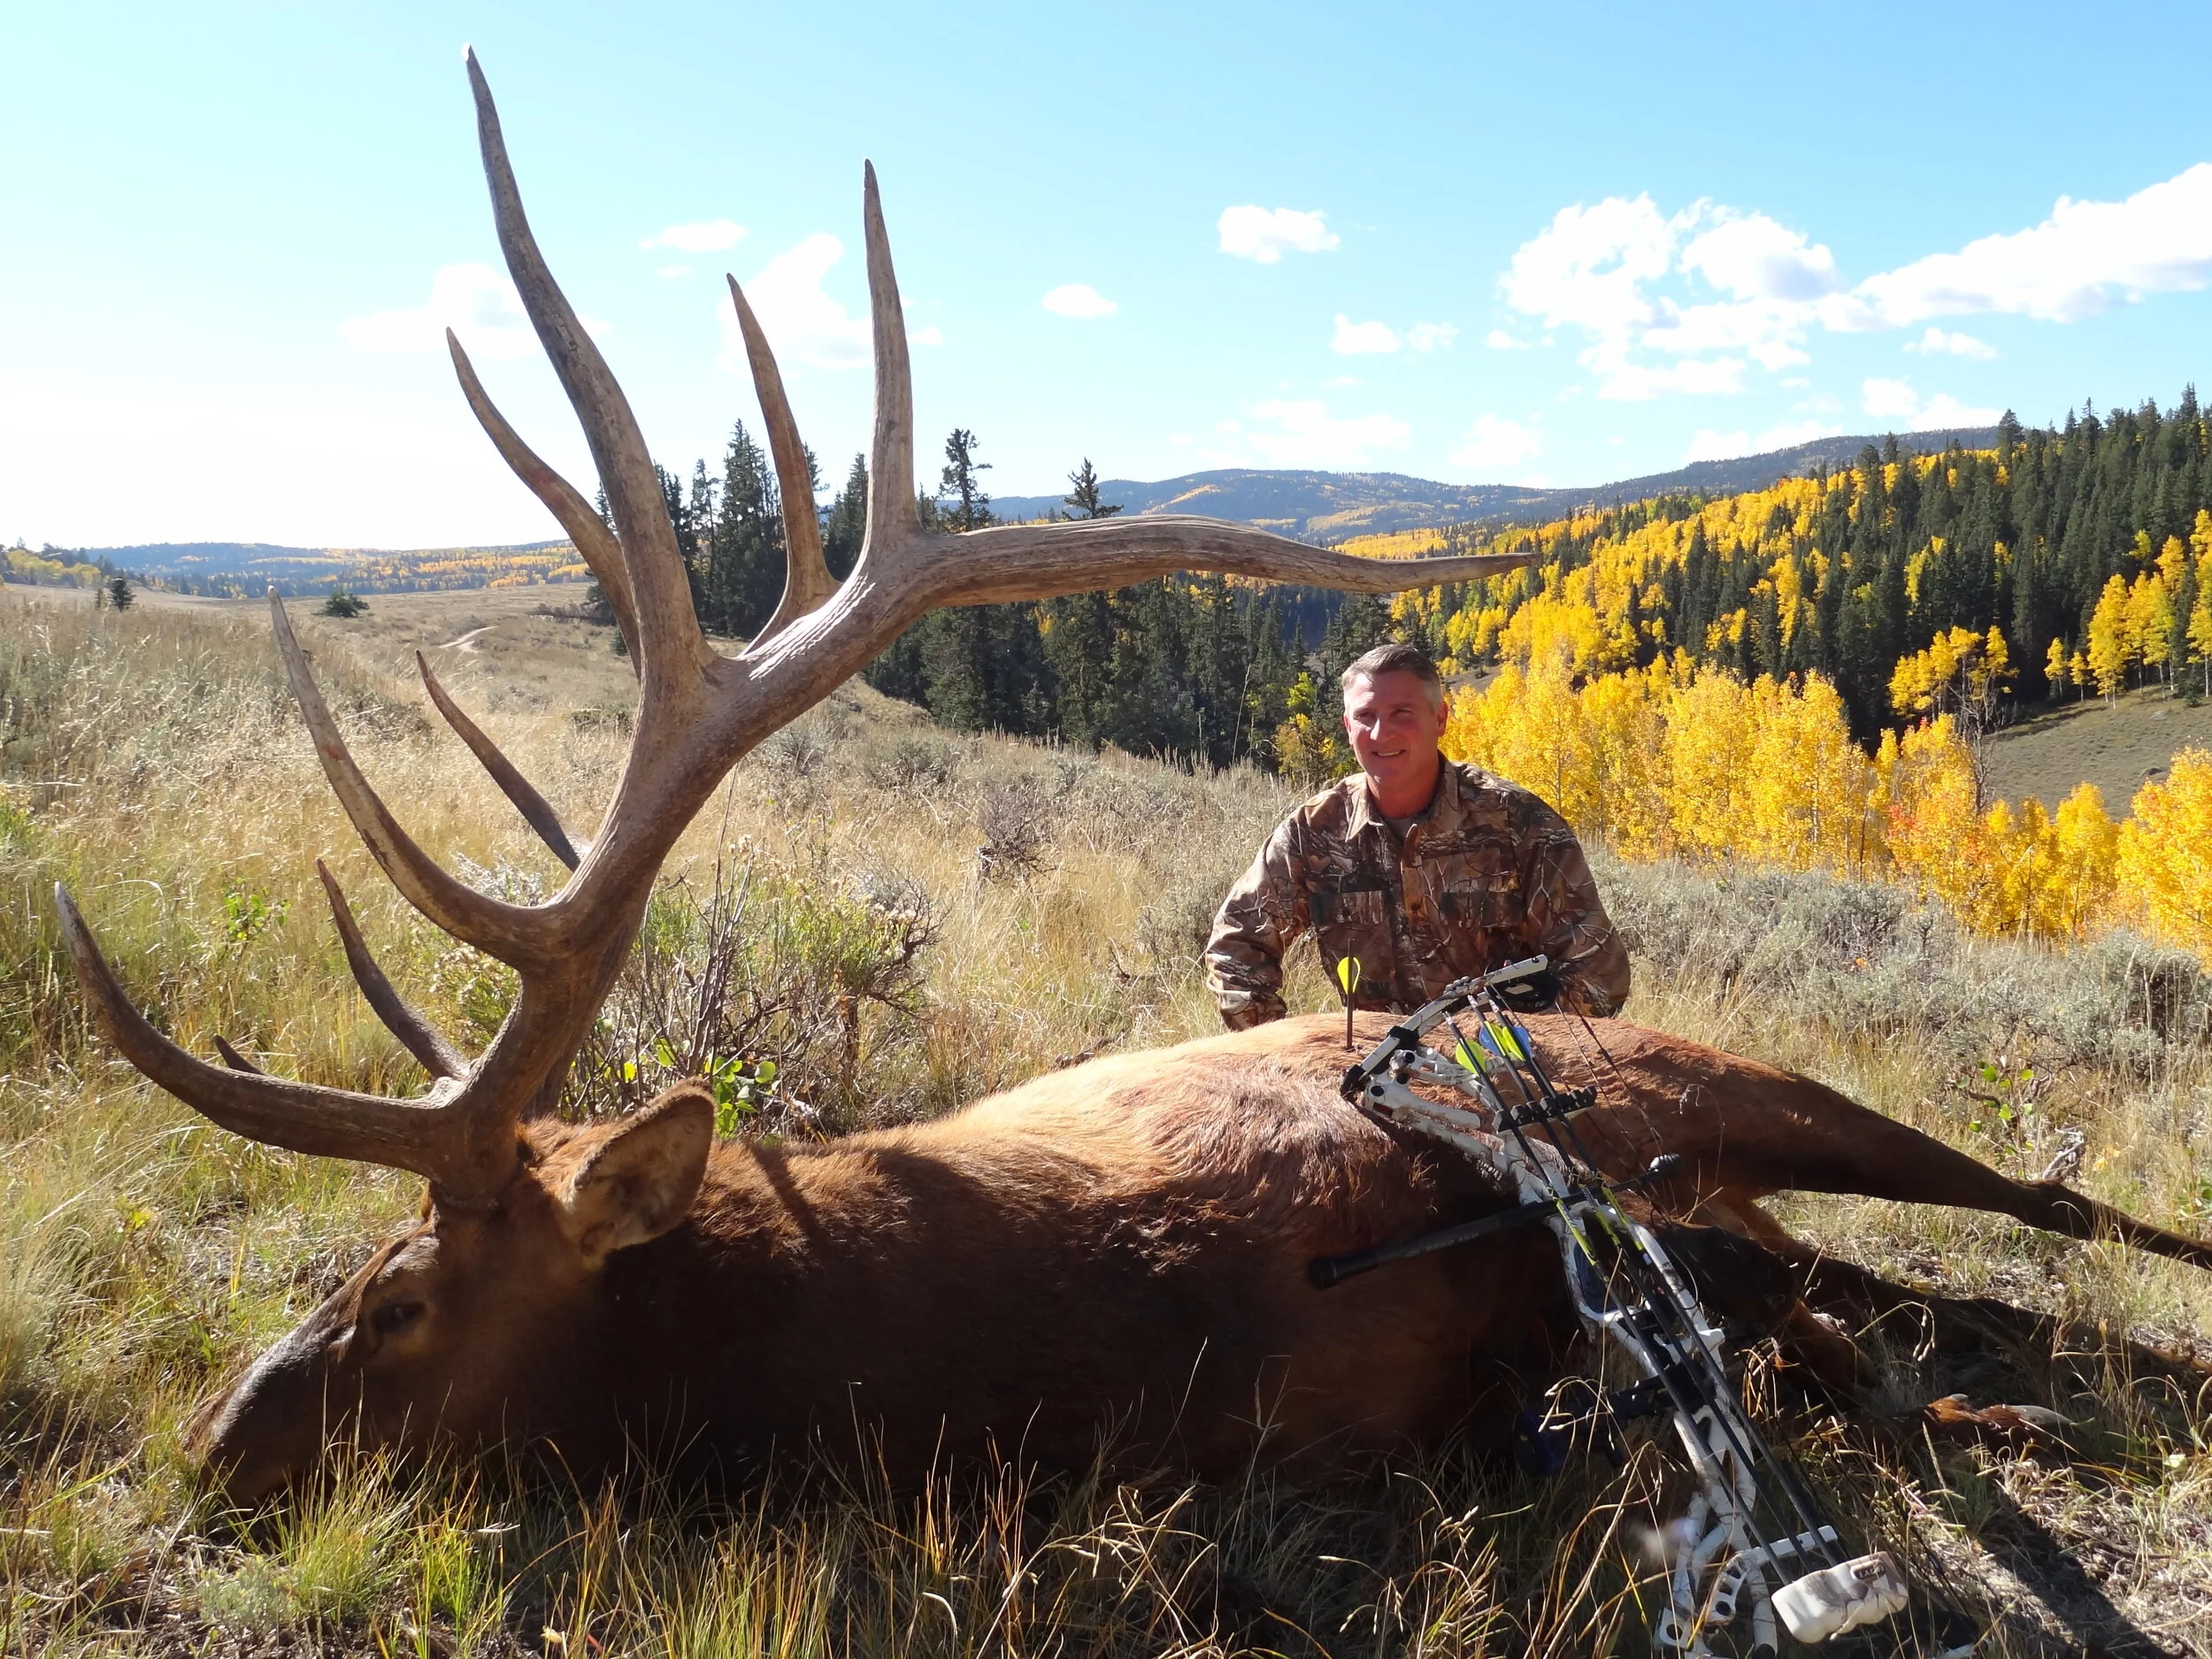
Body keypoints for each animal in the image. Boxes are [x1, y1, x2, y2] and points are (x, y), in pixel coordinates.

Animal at [53, 53, 2212, 1511]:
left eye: (401, 1298)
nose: (223, 1439)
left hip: (1717, 1076)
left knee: (2041, 1203)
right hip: (1736, 1198)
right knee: (1932, 1308)